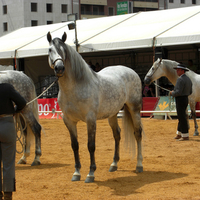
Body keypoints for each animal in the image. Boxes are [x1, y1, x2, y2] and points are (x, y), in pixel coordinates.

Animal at [47, 32, 144, 184]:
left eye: (64, 50)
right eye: (50, 49)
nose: (59, 68)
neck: (75, 87)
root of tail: (130, 71)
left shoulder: (90, 120)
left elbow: (90, 145)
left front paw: (90, 174)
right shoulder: (68, 121)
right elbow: (75, 145)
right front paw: (76, 173)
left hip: (134, 108)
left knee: (138, 133)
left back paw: (139, 165)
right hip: (112, 114)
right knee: (117, 134)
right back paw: (114, 164)